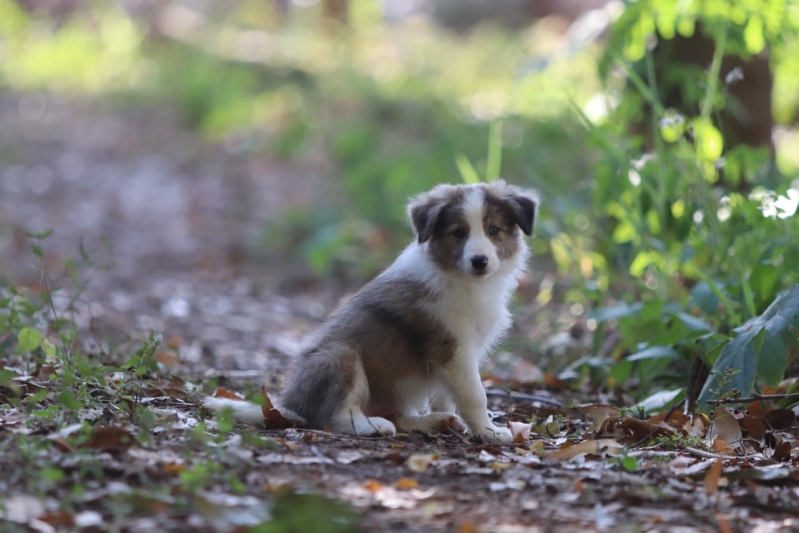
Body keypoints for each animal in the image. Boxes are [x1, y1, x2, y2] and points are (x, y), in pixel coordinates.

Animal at [209, 180, 540, 440]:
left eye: (494, 230)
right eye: (458, 233)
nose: (479, 261)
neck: (464, 280)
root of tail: (288, 405)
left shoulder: (455, 356)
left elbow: (447, 395)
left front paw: (458, 422)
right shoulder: (452, 348)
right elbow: (474, 395)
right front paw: (490, 432)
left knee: (399, 415)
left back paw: (432, 422)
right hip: (340, 355)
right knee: (335, 418)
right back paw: (372, 426)